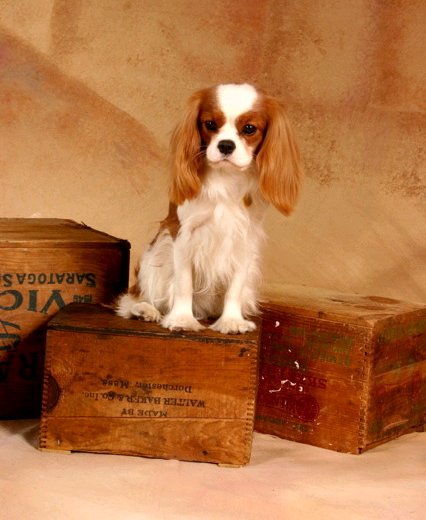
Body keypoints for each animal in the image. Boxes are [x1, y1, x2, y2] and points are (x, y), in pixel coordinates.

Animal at [115, 82, 302, 334]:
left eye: (249, 129)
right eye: (210, 124)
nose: (226, 145)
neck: (226, 178)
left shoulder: (244, 241)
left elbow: (235, 287)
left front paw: (231, 320)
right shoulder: (183, 235)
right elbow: (184, 283)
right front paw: (182, 319)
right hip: (156, 257)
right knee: (132, 299)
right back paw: (145, 310)